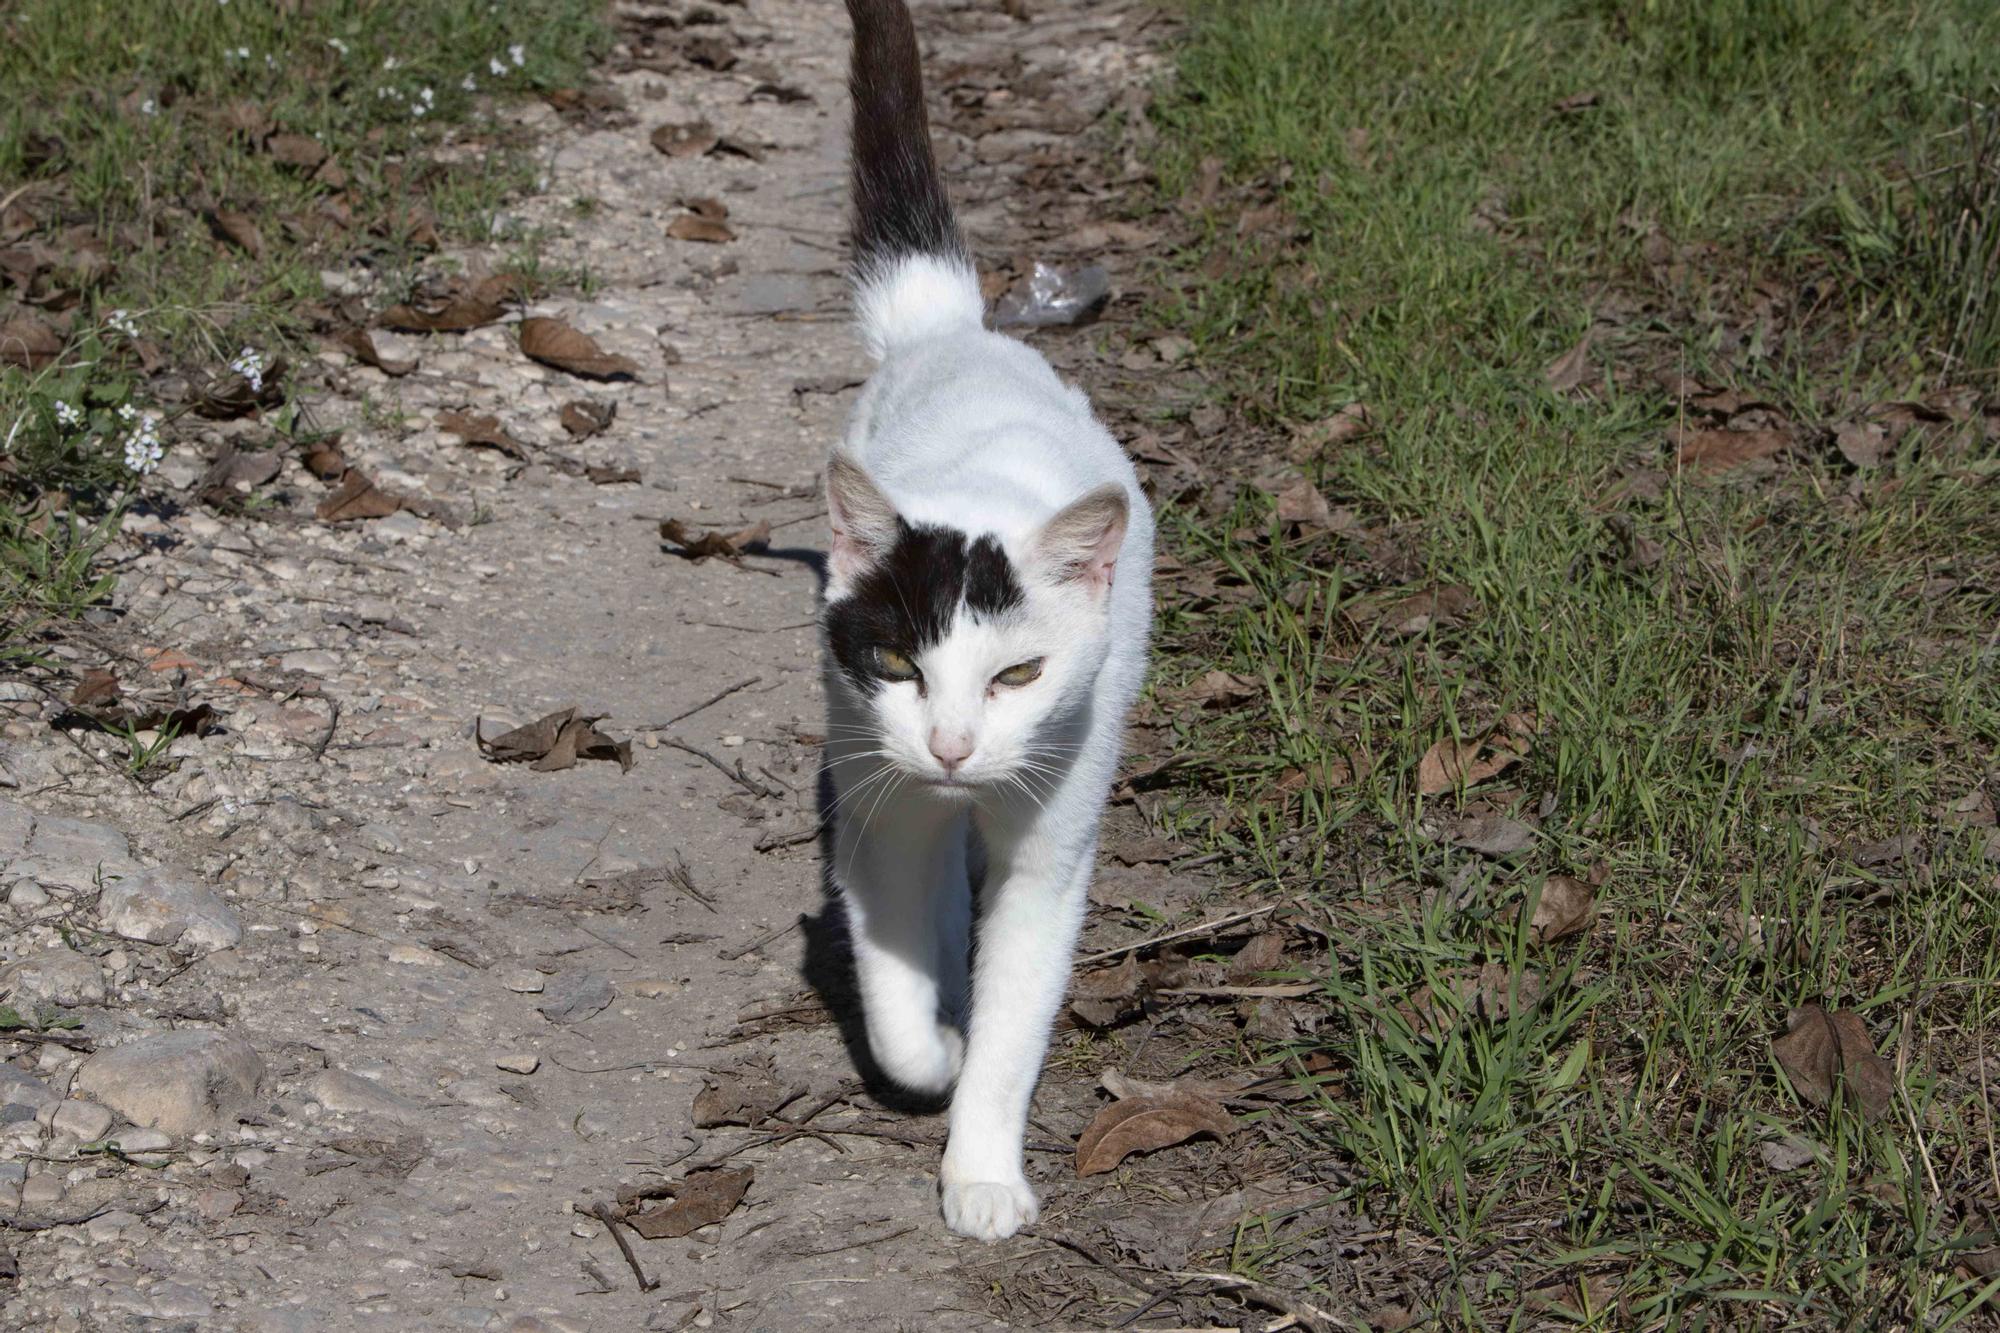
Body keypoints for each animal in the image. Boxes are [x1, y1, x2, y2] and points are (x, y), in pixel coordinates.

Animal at [816, 0, 1160, 1232]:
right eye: (897, 663)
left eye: (1017, 675)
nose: (957, 746)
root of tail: (949, 336)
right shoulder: (877, 800)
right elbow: (894, 989)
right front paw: (935, 1048)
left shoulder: (1054, 847)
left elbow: (1018, 1018)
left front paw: (981, 1172)